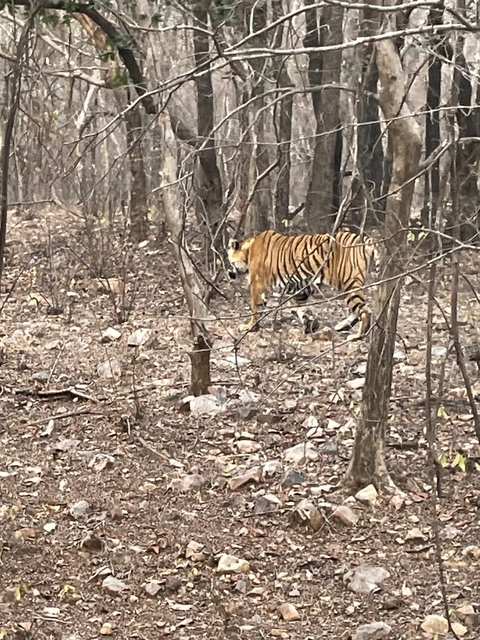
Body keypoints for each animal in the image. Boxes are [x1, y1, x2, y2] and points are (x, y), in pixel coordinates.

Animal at [227, 229, 378, 340]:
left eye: (230, 262)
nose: (229, 274)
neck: (247, 251)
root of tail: (363, 239)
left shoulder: (256, 285)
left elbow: (255, 308)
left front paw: (250, 327)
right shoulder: (300, 289)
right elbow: (300, 309)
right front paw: (310, 325)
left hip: (348, 282)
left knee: (365, 310)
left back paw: (357, 336)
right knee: (358, 309)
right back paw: (343, 326)